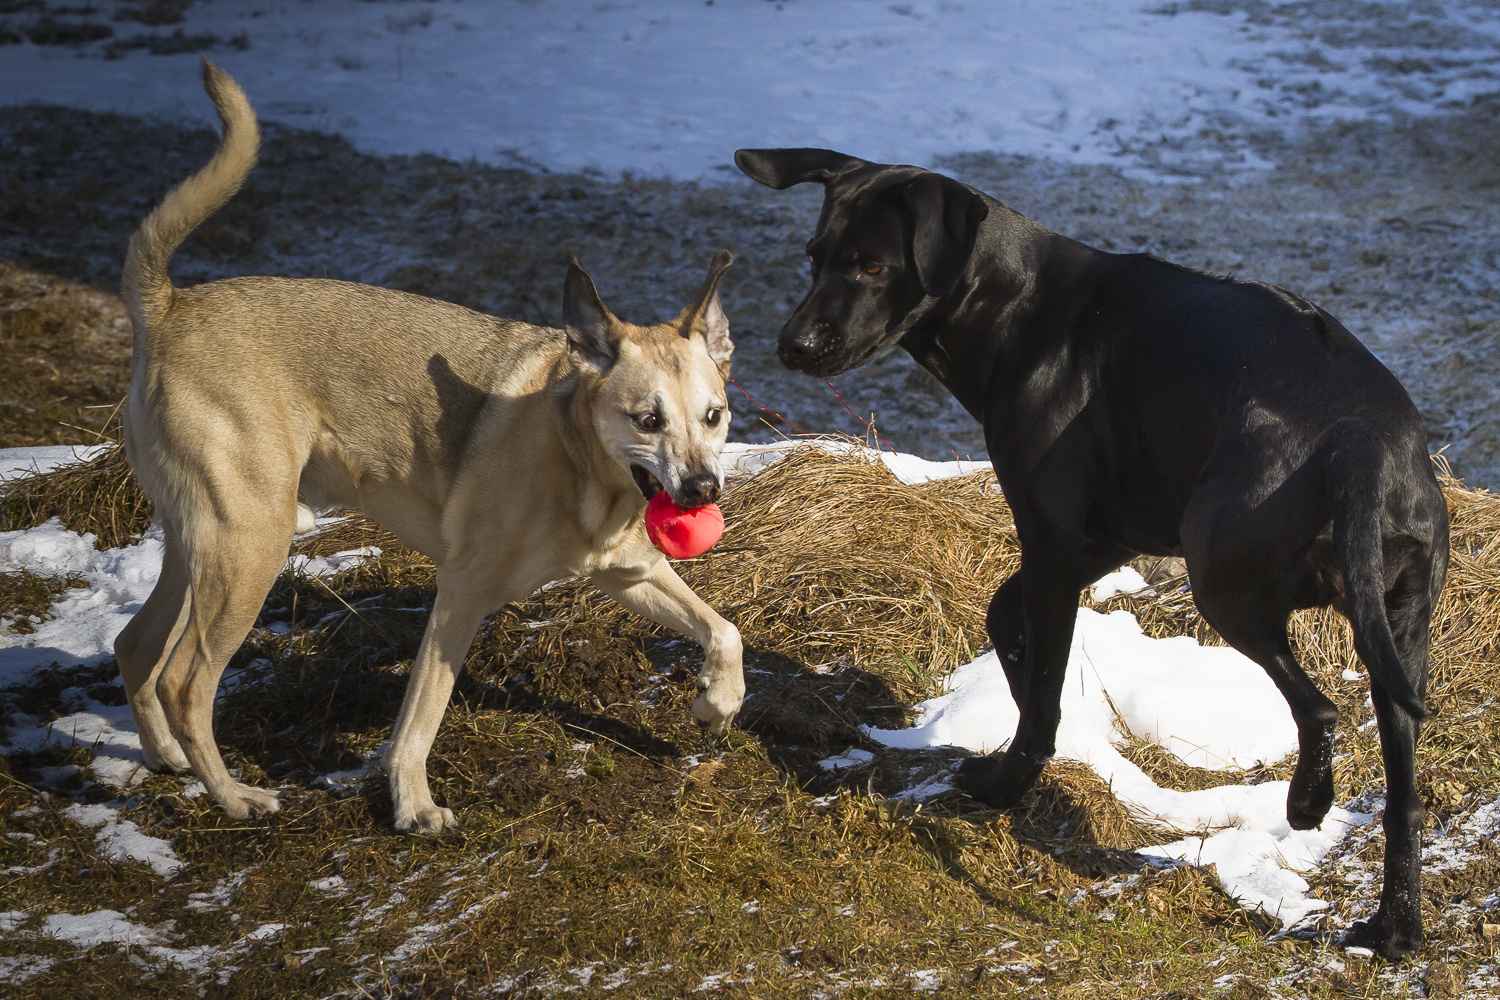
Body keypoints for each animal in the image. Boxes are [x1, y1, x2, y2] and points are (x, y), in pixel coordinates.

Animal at [109, 58, 744, 833]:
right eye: (647, 420)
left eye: (714, 416)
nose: (704, 491)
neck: (581, 465)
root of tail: (169, 306)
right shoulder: (461, 593)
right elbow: (421, 716)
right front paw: (412, 803)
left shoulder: (629, 573)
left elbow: (723, 631)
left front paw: (716, 704)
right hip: (249, 544)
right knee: (183, 680)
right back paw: (233, 797)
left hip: (200, 544)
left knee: (134, 645)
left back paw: (168, 759)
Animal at [738, 148, 1452, 959]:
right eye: (814, 257)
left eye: (872, 266)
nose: (792, 344)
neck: (1022, 308)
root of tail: (1355, 441)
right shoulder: (1103, 540)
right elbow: (1003, 615)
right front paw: (1017, 687)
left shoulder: (1052, 540)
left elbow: (1042, 693)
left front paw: (1007, 781)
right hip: (1397, 631)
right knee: (1404, 799)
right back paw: (1394, 927)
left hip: (1224, 580)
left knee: (1321, 708)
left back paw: (1309, 801)